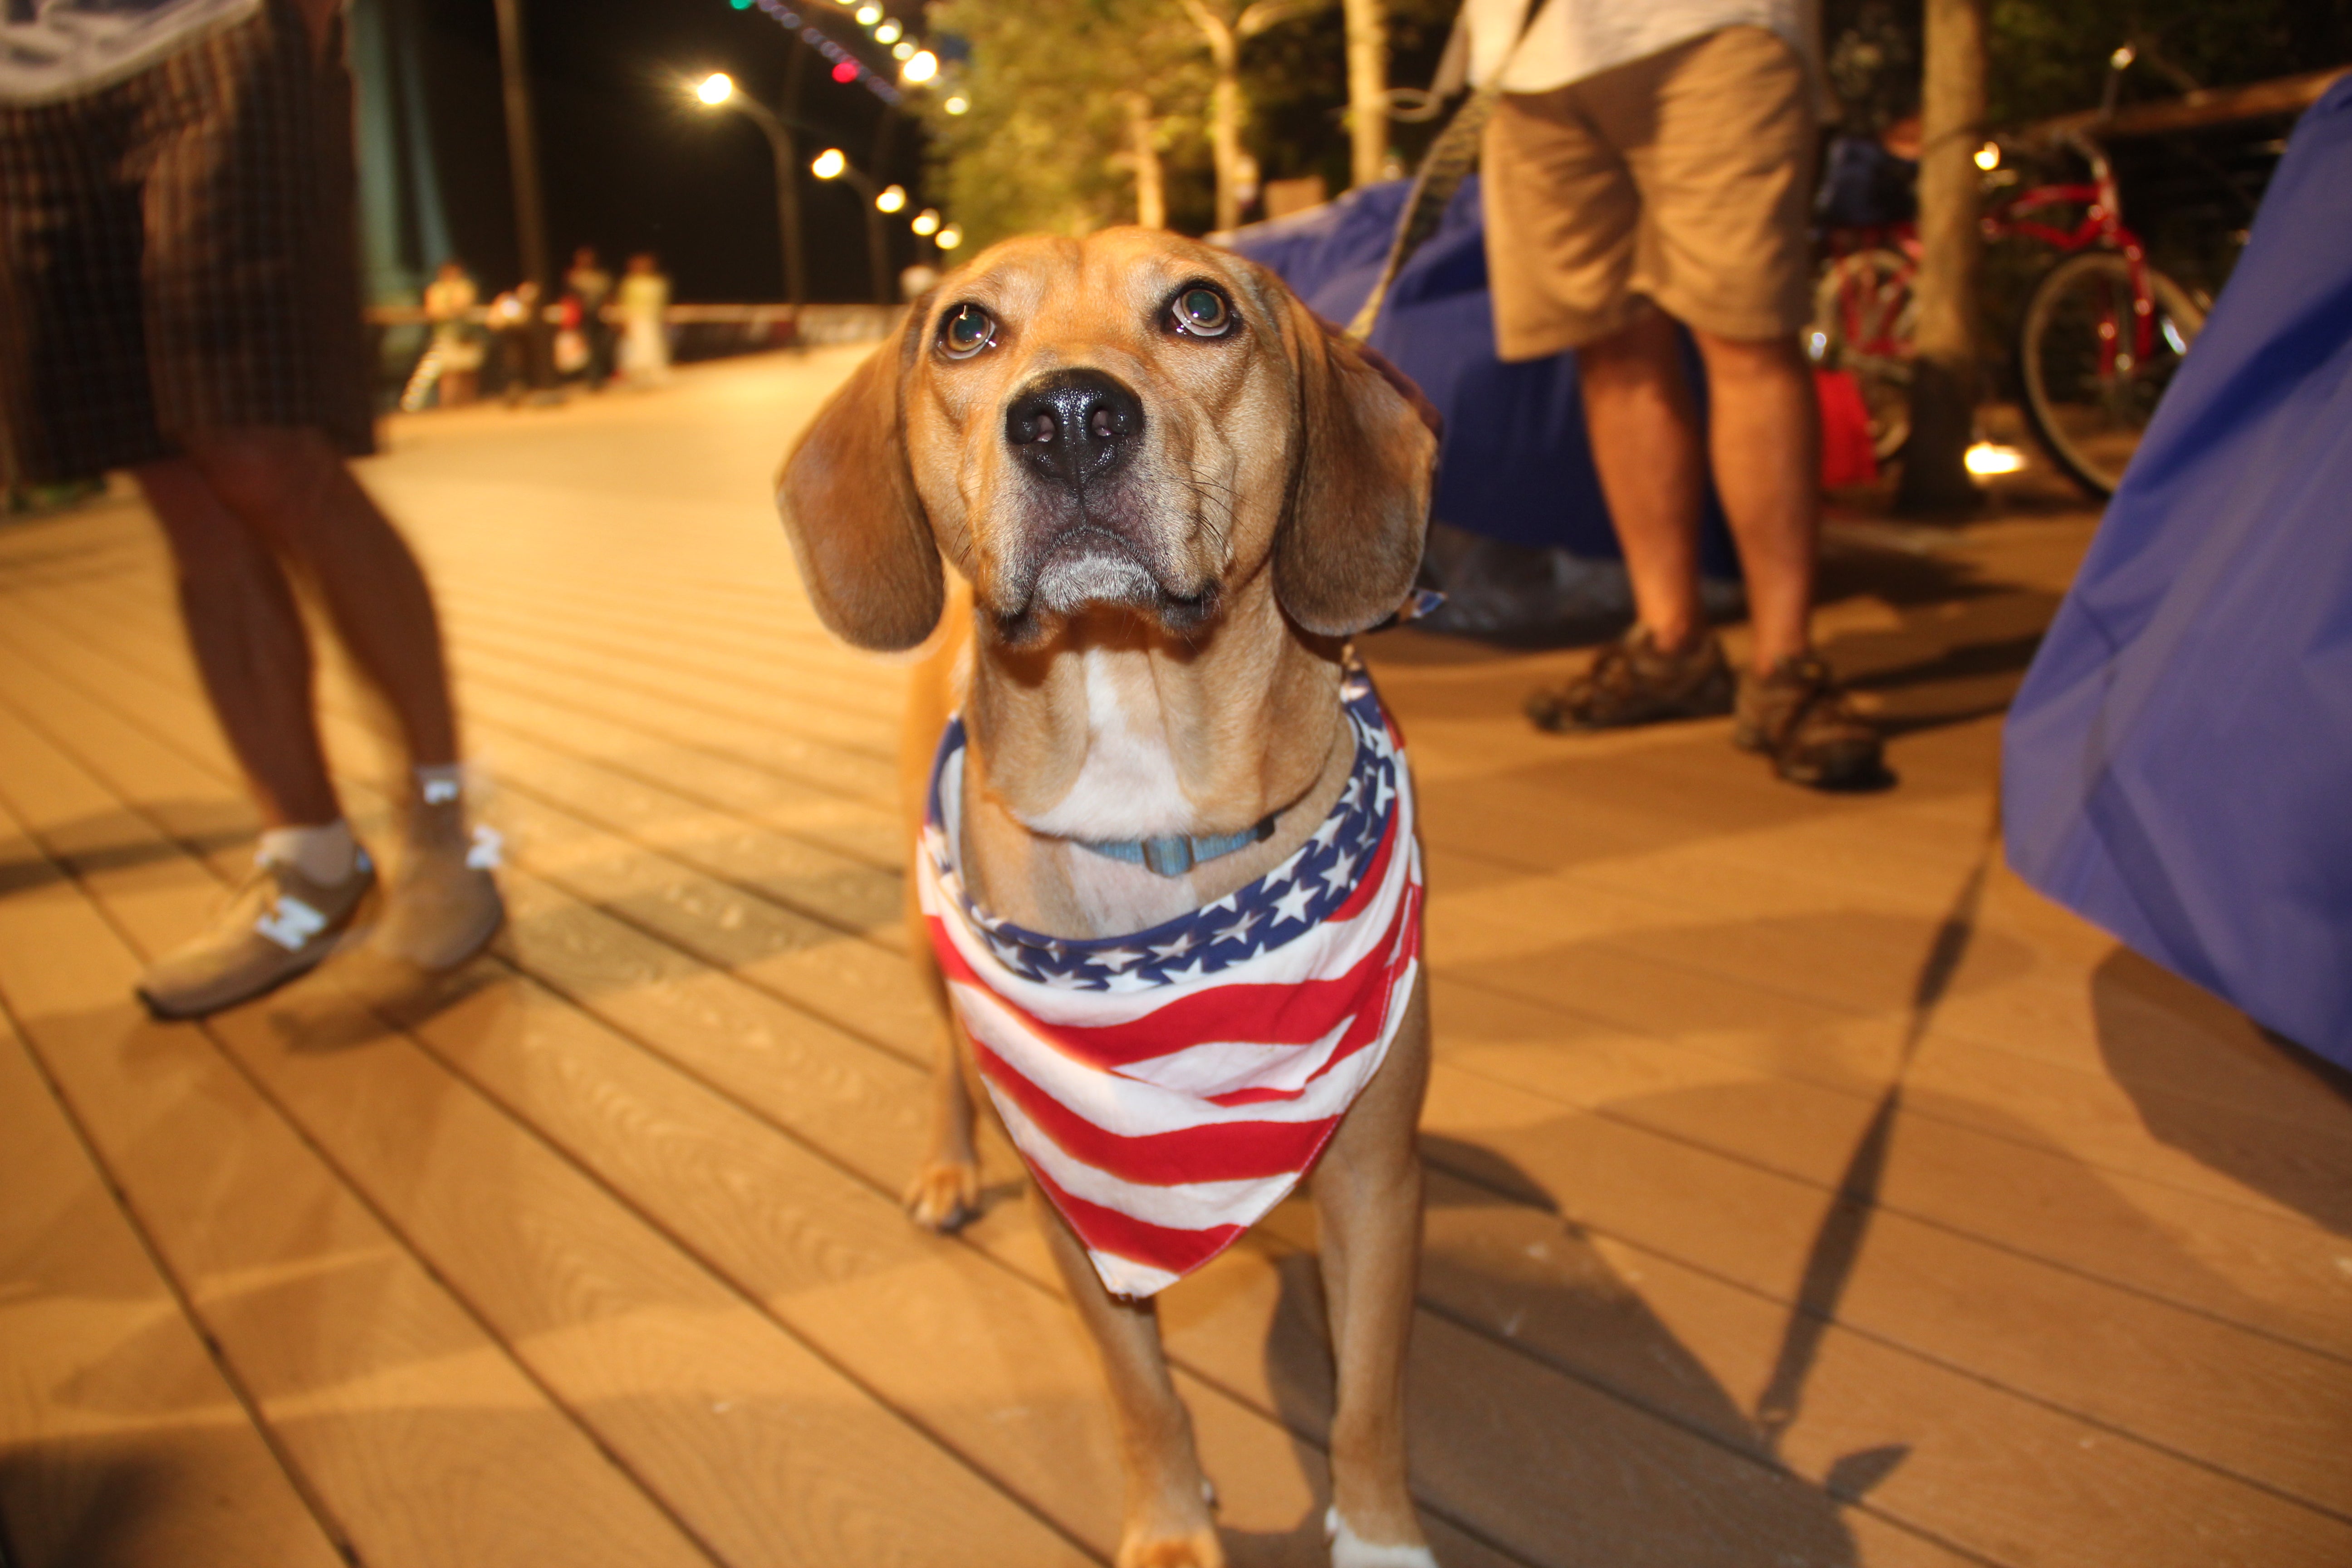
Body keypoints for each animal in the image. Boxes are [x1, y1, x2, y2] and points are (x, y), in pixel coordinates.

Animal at [781, 227, 1439, 1568]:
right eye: (966, 328)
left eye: (1201, 309)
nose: (1071, 416)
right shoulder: (1077, 1210)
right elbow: (1145, 1399)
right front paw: (1173, 1530)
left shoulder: (1376, 1183)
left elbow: (1367, 1401)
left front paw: (1380, 1534)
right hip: (930, 944)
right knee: (944, 1054)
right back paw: (945, 1167)